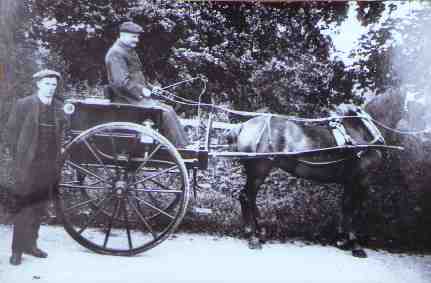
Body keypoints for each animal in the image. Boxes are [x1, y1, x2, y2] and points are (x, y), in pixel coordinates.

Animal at [228, 93, 406, 260]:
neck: (362, 132)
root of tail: (243, 125)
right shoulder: (362, 180)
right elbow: (353, 210)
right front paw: (355, 245)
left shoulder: (349, 181)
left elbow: (345, 207)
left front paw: (342, 240)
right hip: (259, 169)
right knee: (246, 197)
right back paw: (253, 237)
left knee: (250, 198)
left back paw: (260, 233)